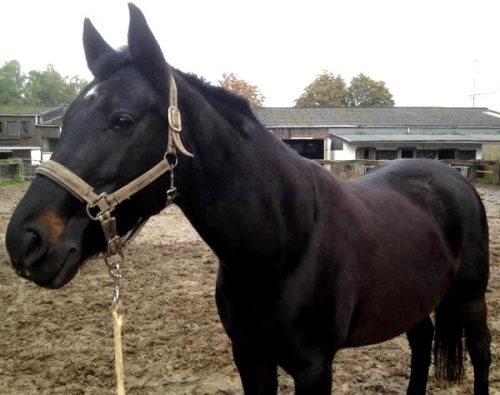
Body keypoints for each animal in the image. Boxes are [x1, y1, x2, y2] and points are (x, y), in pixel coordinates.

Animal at [4, 3, 488, 395]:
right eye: (66, 120)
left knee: (480, 352)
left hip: (470, 297)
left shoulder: (314, 368)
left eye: (122, 120)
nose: (25, 241)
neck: (284, 241)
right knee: (422, 343)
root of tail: (453, 178)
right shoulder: (250, 357)